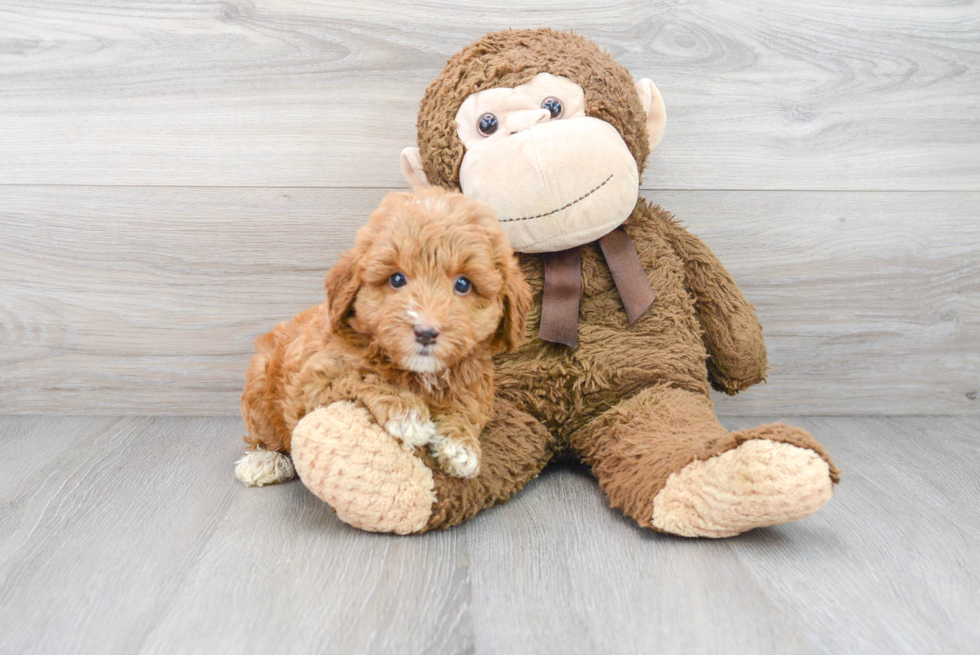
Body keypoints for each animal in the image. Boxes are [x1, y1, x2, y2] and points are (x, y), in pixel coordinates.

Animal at [234, 190, 532, 486]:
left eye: (463, 284)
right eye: (397, 279)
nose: (426, 332)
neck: (421, 374)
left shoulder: (474, 384)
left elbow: (467, 409)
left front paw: (461, 445)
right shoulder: (312, 382)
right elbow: (363, 375)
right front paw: (408, 414)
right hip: (260, 380)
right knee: (264, 432)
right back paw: (263, 460)